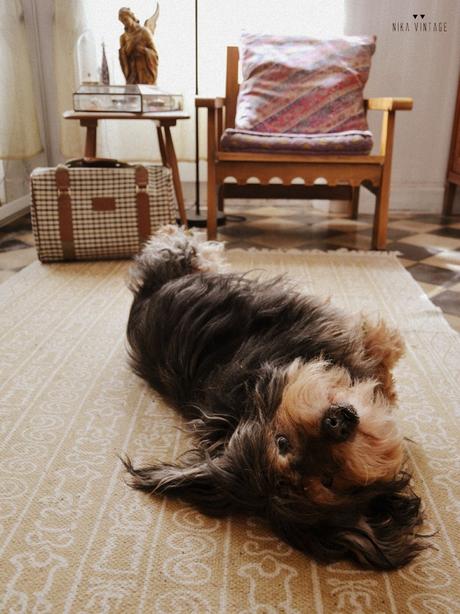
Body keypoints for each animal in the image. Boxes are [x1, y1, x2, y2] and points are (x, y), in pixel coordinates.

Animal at [123, 226, 424, 572]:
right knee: (178, 251)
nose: (338, 423)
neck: (247, 397)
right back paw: (183, 237)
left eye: (281, 442)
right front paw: (385, 356)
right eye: (328, 481)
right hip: (185, 269)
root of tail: (143, 301)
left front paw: (384, 383)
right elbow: (378, 343)